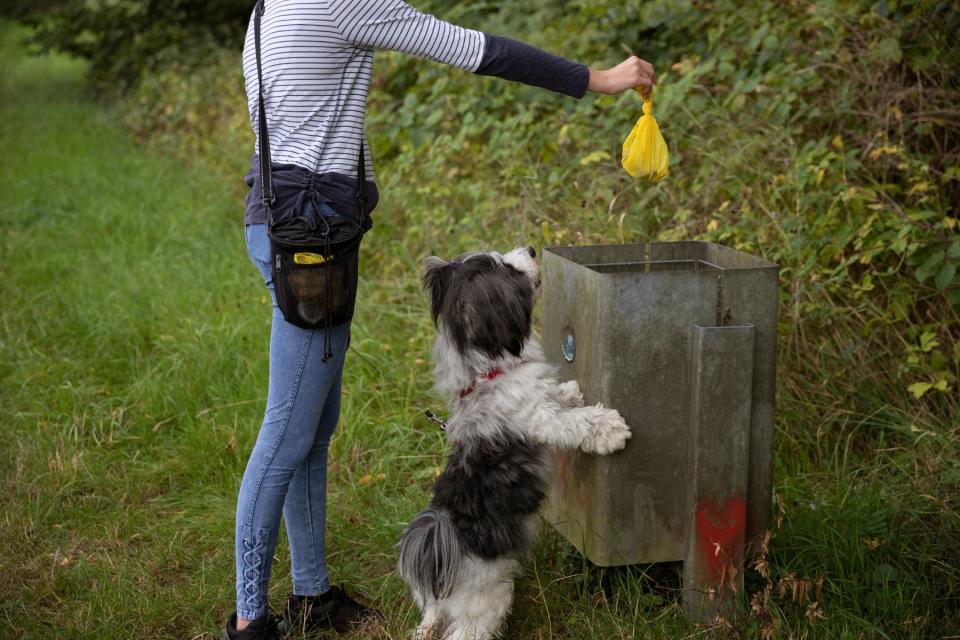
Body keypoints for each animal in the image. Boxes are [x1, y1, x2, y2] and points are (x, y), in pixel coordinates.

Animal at [398, 249, 632, 640]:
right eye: (505, 268)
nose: (533, 250)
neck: (488, 375)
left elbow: (561, 399)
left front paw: (570, 392)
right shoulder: (539, 417)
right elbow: (575, 422)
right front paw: (609, 427)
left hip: (436, 608)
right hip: (486, 600)